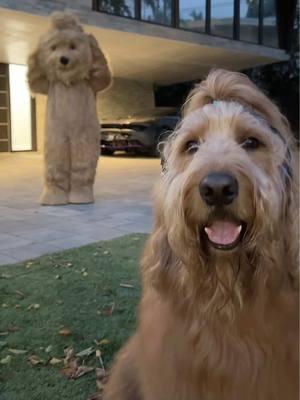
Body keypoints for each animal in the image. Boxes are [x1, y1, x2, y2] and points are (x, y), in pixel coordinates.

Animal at [27, 12, 111, 206]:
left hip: (85, 136)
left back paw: (82, 196)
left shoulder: (92, 81)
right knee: (56, 158)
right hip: (56, 135)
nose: (63, 59)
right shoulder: (49, 85)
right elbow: (37, 82)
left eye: (73, 46)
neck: (68, 81)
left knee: (83, 160)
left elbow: (101, 78)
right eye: (54, 48)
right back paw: (53, 198)